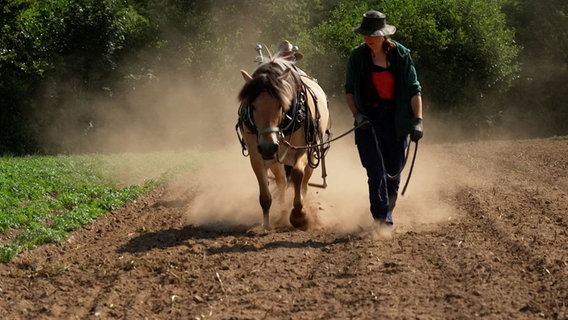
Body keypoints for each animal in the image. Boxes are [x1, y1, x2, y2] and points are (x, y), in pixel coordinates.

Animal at [236, 57, 332, 230]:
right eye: (252, 106)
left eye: (281, 104)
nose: (268, 146)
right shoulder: (257, 156)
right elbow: (265, 196)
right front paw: (266, 224)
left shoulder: (302, 150)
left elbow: (297, 174)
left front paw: (299, 215)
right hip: (275, 159)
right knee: (281, 181)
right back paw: (281, 210)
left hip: (312, 154)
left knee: (304, 182)